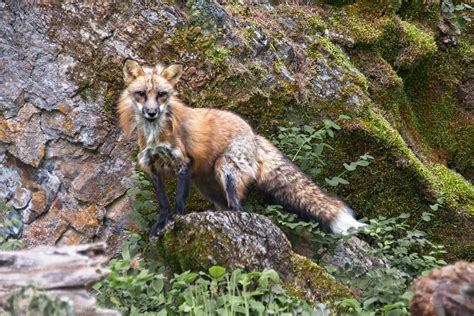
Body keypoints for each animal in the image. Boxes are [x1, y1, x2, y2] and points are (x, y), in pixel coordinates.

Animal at [116, 60, 364, 236]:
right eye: (141, 94)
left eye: (161, 95)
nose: (151, 113)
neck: (155, 136)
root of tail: (253, 134)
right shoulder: (152, 168)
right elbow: (163, 203)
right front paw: (160, 225)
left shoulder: (183, 163)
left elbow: (178, 202)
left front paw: (174, 222)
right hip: (208, 187)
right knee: (229, 208)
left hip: (226, 171)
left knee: (239, 209)